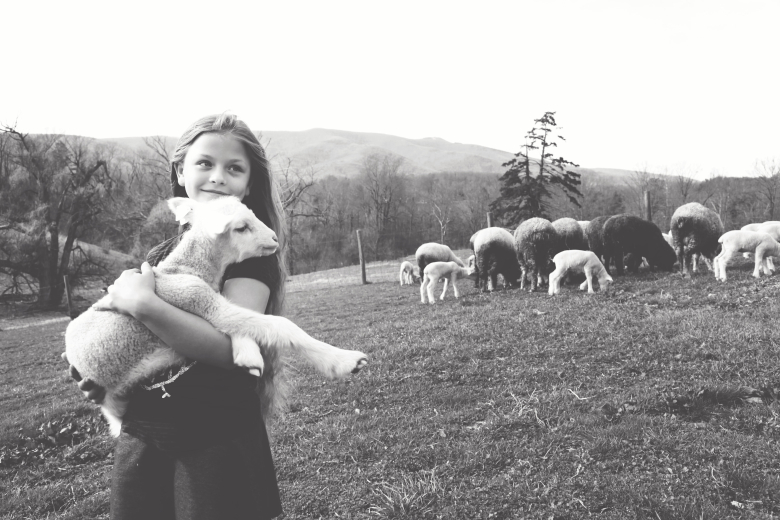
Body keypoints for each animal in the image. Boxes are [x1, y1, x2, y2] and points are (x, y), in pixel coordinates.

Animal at [64, 197, 368, 436]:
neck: (188, 269)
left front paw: (247, 354)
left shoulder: (215, 302)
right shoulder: (196, 298)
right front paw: (344, 360)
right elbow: (279, 325)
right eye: (241, 227)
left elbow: (243, 325)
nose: (274, 239)